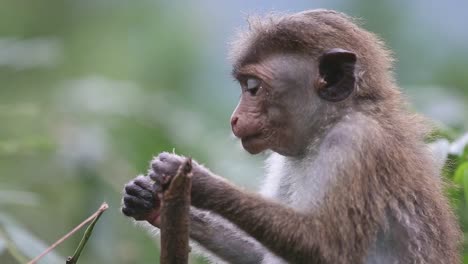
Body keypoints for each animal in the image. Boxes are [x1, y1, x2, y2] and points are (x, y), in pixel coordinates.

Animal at [120, 9, 460, 262]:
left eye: (253, 88)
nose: (234, 119)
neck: (326, 128)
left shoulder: (355, 143)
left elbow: (327, 247)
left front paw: (202, 182)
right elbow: (256, 253)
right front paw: (150, 202)